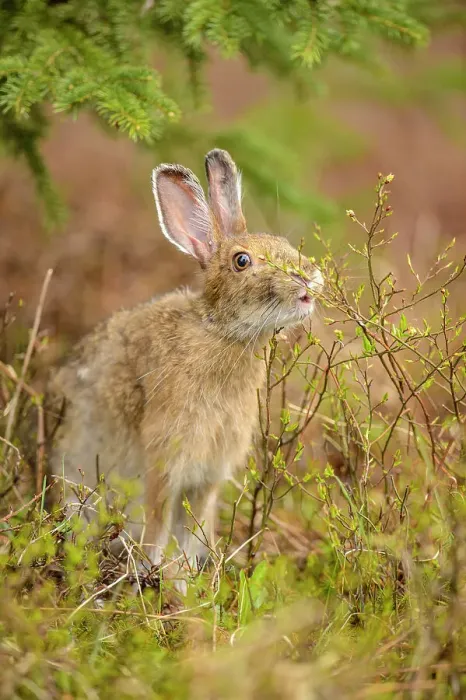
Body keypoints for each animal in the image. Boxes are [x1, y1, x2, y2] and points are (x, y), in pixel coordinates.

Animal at [50, 149, 323, 582]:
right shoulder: (165, 460)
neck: (222, 332)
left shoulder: (208, 475)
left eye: (283, 243)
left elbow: (193, 527)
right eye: (241, 261)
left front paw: (188, 577)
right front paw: (153, 571)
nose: (309, 279)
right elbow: (159, 519)